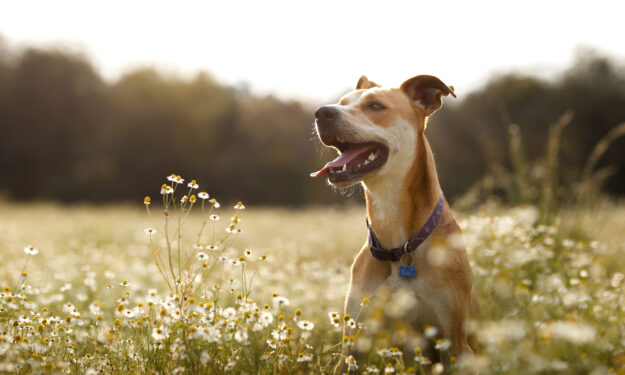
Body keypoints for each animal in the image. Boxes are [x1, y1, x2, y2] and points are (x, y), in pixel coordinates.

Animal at [310, 75, 480, 372]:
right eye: (342, 102)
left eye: (375, 105)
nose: (322, 112)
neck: (399, 246)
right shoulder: (353, 344)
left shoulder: (455, 344)